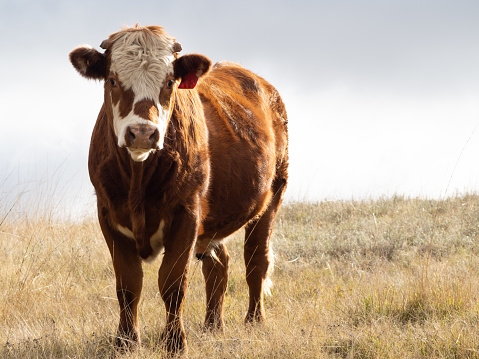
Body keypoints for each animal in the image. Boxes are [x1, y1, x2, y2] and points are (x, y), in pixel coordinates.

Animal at [70, 23, 288, 356]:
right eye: (112, 80)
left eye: (170, 81)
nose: (142, 133)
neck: (138, 180)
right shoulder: (108, 215)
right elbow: (128, 284)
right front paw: (125, 341)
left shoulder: (187, 212)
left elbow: (172, 282)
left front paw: (174, 342)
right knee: (219, 265)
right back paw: (213, 325)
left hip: (273, 193)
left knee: (256, 260)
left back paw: (254, 321)